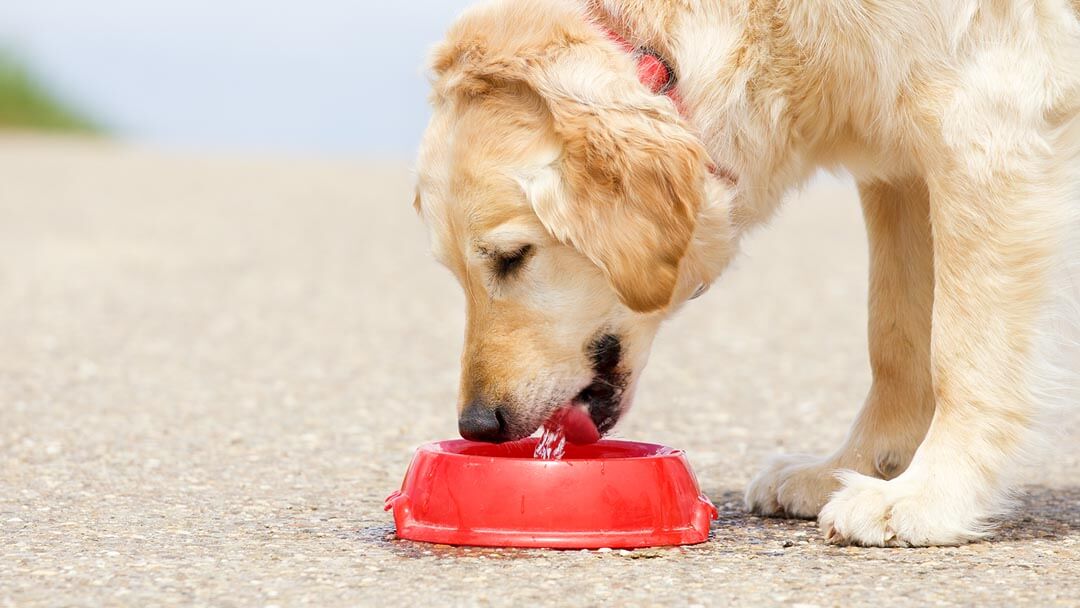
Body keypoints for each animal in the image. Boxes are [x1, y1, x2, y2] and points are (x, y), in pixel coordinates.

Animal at [410, 0, 1080, 546]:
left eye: (512, 256)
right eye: (454, 271)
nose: (477, 426)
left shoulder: (982, 126)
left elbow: (961, 355)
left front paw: (929, 496)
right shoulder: (898, 166)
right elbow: (894, 339)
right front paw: (858, 466)